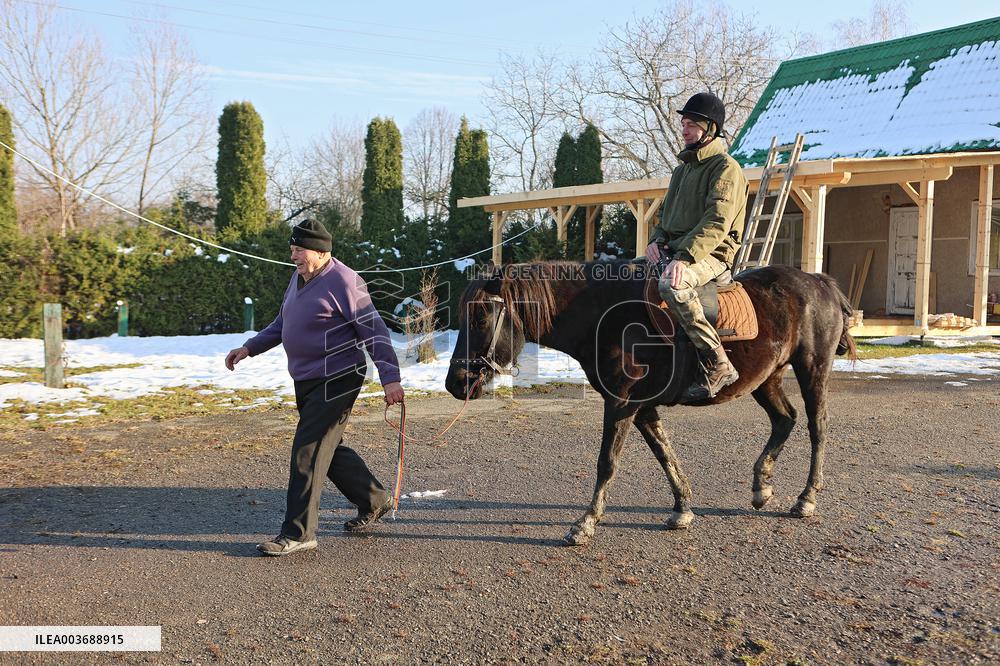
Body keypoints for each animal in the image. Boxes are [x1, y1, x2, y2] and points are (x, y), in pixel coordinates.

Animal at [444, 260, 856, 546]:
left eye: (480, 318)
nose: (455, 383)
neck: (606, 318)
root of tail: (820, 281)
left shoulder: (621, 403)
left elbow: (607, 462)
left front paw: (585, 523)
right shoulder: (642, 407)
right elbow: (664, 453)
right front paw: (683, 508)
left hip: (813, 368)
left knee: (817, 427)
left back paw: (806, 498)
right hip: (766, 378)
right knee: (784, 419)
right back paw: (761, 485)